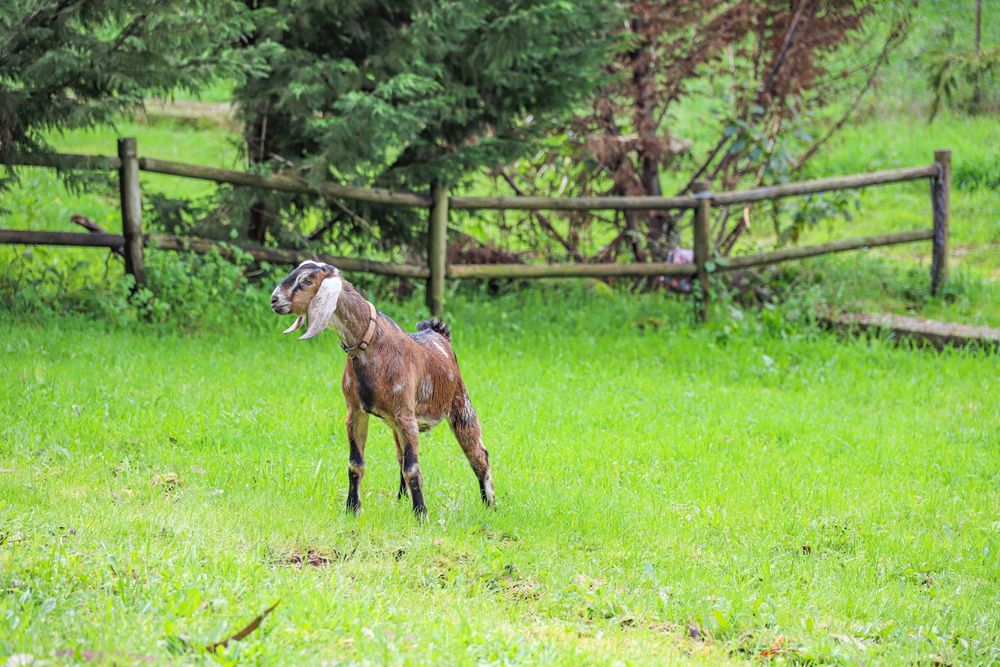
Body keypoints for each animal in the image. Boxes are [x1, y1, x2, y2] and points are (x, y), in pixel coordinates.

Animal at [270, 261, 495, 517]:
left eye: (306, 280)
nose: (274, 299)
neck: (373, 345)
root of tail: (439, 333)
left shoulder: (406, 416)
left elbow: (412, 468)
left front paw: (421, 514)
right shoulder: (356, 412)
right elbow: (356, 464)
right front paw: (352, 509)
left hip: (460, 404)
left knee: (477, 454)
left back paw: (490, 505)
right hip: (396, 424)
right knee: (400, 456)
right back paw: (400, 500)